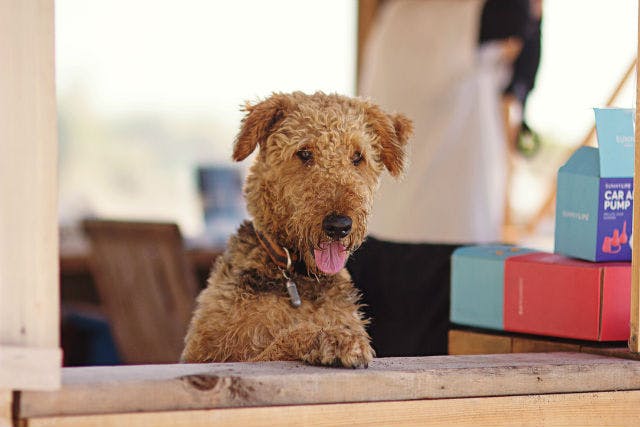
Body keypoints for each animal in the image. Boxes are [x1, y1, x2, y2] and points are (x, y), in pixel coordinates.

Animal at [181, 92, 410, 370]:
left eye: (357, 156)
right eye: (304, 153)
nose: (339, 225)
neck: (297, 276)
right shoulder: (206, 356)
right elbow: (279, 343)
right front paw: (333, 339)